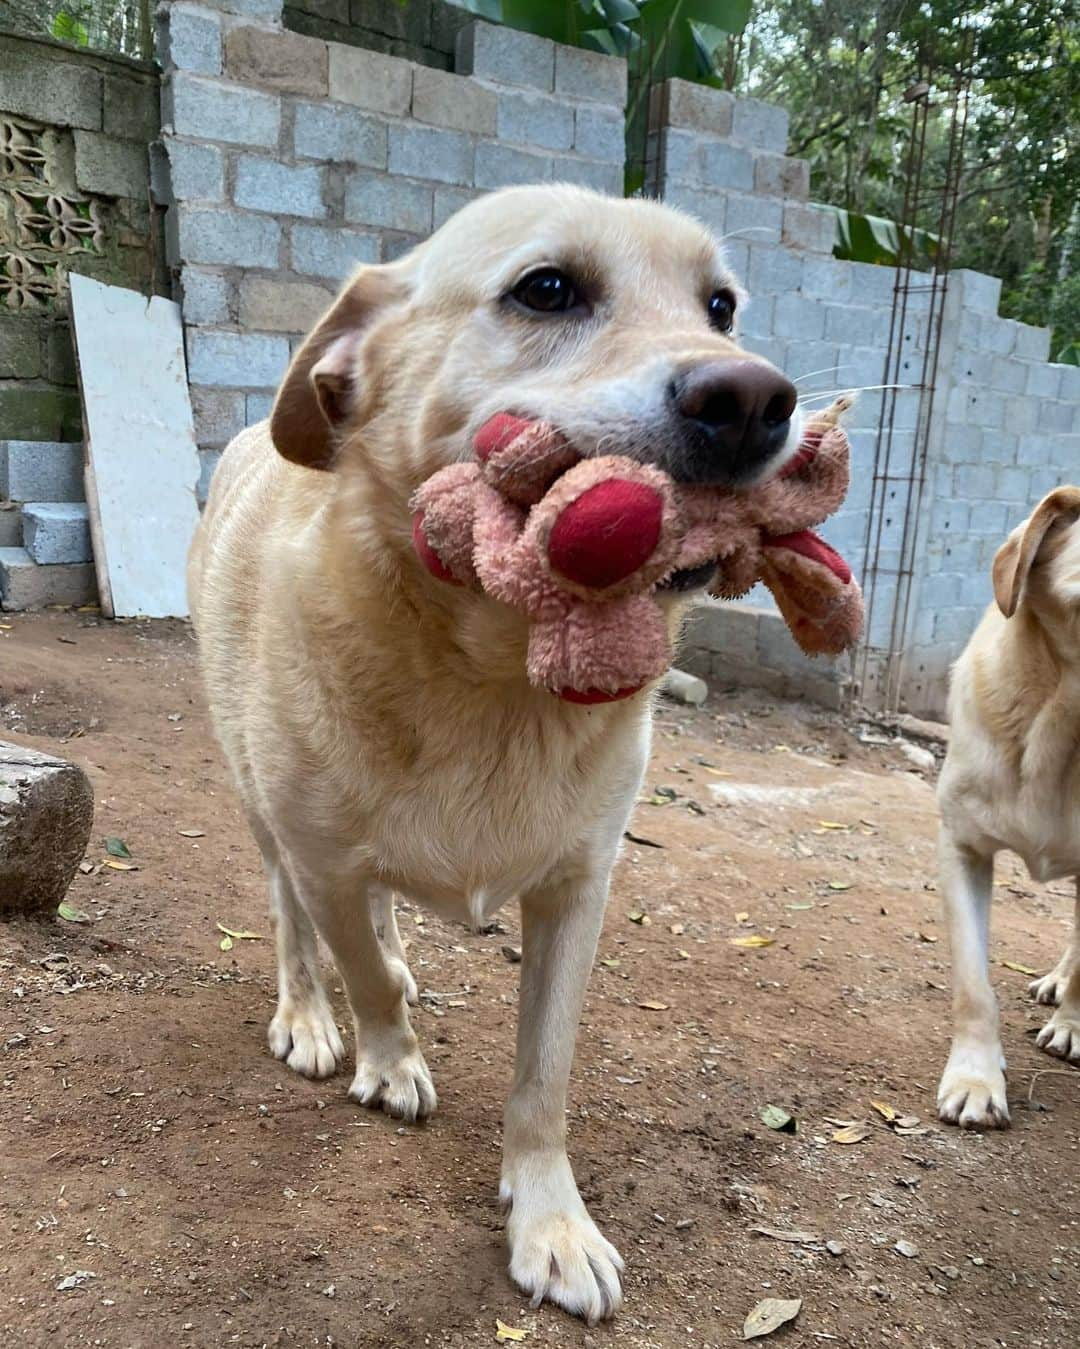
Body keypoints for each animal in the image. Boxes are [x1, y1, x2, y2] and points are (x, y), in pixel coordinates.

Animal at [187, 184, 798, 1322]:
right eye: (546, 289)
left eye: (723, 306)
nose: (753, 400)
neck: (500, 680)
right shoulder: (322, 851)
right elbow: (359, 972)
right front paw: (388, 1060)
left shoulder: (579, 888)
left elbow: (543, 1076)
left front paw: (551, 1221)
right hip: (259, 796)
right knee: (293, 915)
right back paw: (309, 1014)